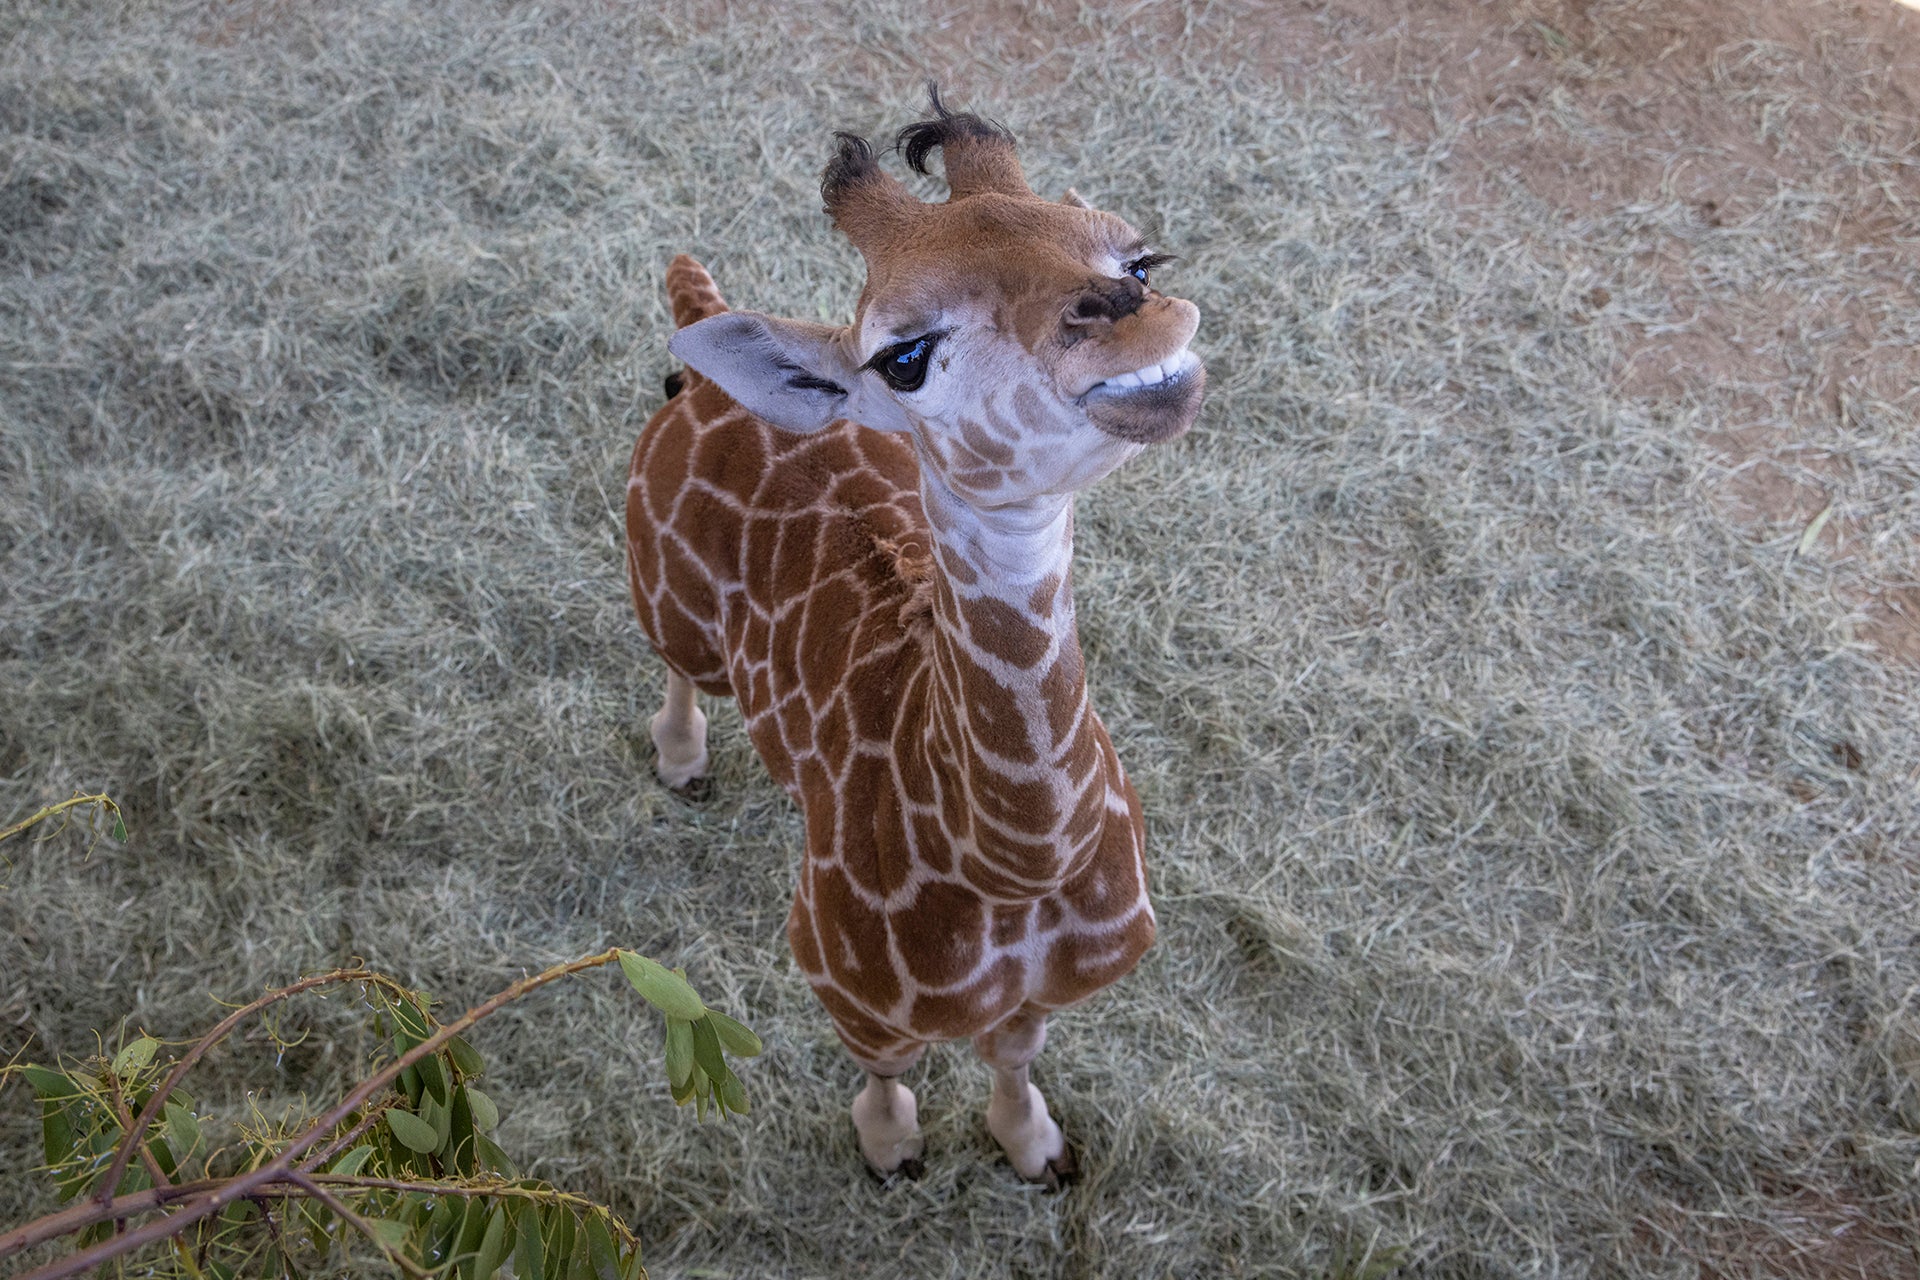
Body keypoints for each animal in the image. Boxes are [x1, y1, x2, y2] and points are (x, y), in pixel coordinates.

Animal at [625, 92, 1204, 1186]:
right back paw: (683, 765)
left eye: (1140, 260)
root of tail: (695, 336)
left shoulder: (1052, 992)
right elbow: (886, 1071)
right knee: (678, 671)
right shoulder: (843, 980)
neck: (1014, 868)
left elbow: (1014, 1055)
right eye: (904, 356)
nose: (1134, 320)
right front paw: (892, 1150)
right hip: (662, 598)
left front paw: (1035, 1148)